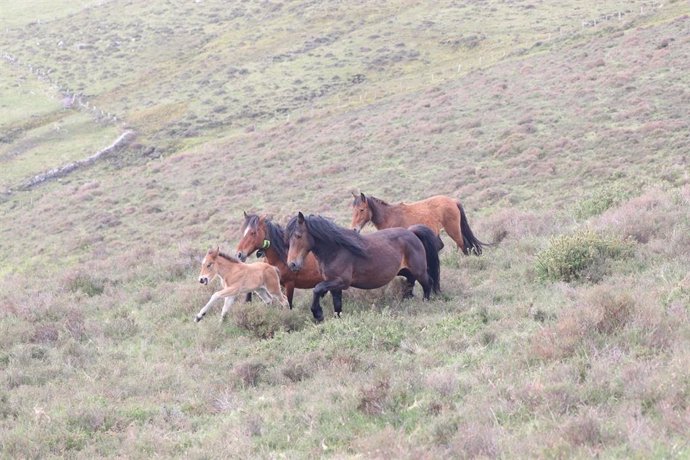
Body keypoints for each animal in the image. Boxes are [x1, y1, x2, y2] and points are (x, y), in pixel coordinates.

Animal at [286, 214, 440, 322]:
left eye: (298, 236)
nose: (292, 264)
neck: (336, 250)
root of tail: (412, 232)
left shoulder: (341, 282)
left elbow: (317, 289)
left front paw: (318, 314)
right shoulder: (334, 285)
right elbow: (337, 305)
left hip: (419, 271)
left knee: (428, 283)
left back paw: (425, 303)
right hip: (406, 272)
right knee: (411, 283)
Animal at [350, 190, 484, 255]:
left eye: (361, 210)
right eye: (353, 209)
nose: (354, 229)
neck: (389, 216)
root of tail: (452, 201)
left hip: (453, 230)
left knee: (464, 246)